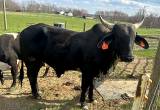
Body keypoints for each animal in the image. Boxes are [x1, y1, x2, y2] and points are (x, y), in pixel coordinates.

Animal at [17, 16, 149, 108]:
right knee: (32, 76)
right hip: (32, 62)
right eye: (117, 36)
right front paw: (82, 103)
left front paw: (91, 99)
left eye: (133, 37)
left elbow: (91, 86)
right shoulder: (87, 71)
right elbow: (85, 86)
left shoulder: (95, 72)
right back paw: (36, 94)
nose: (129, 57)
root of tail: (23, 31)